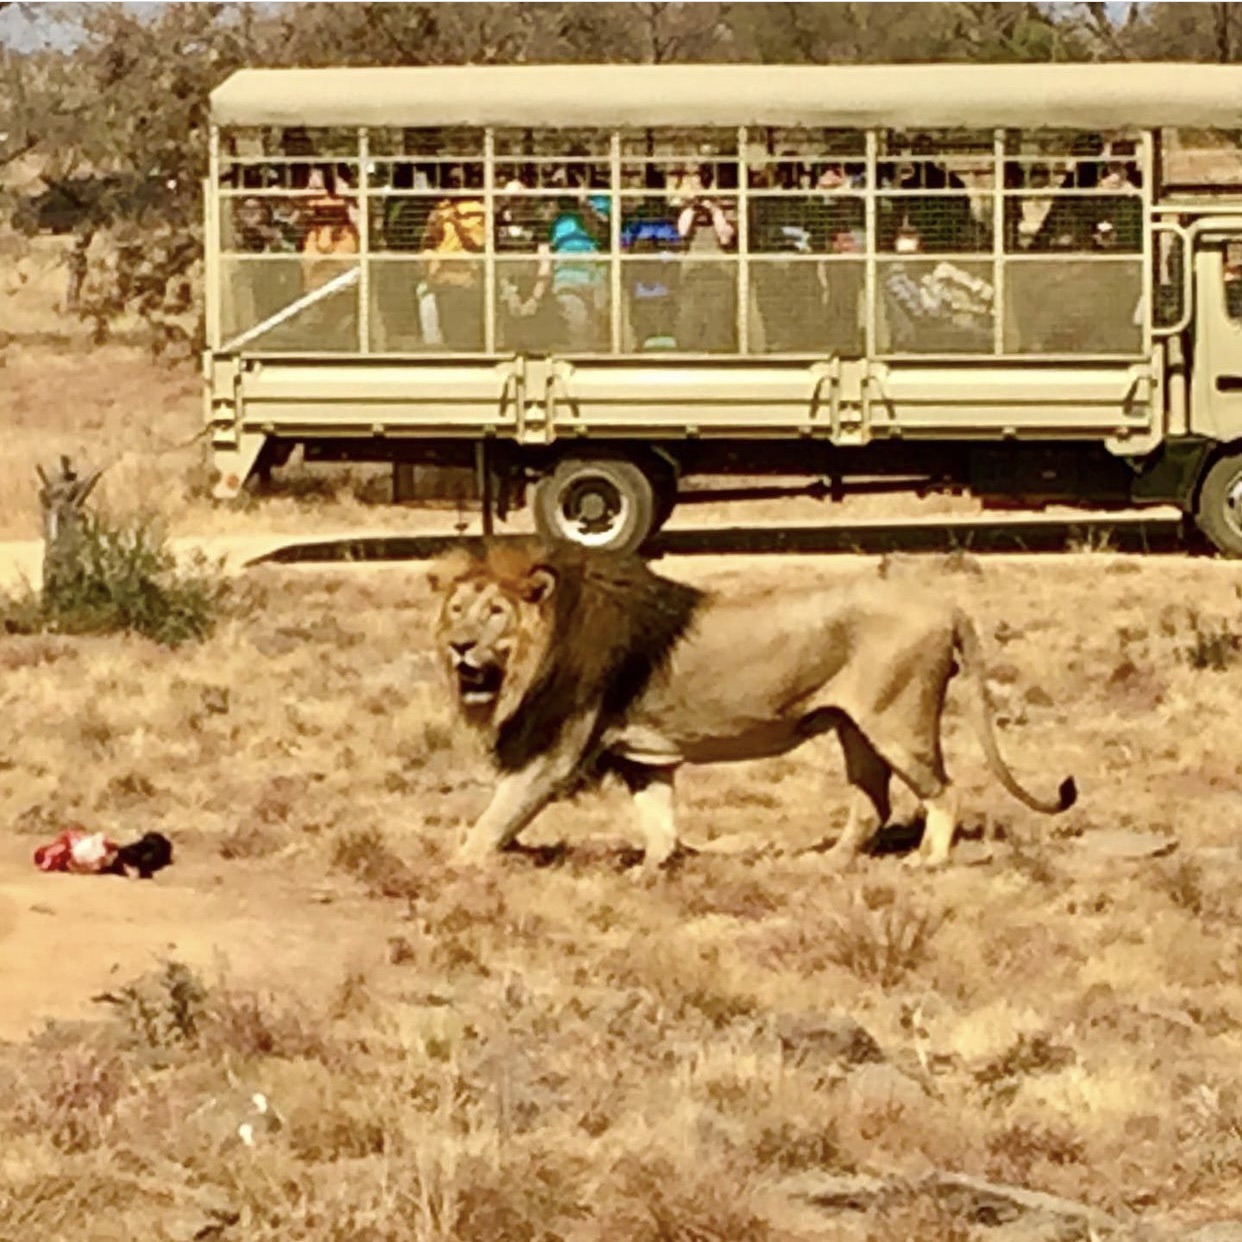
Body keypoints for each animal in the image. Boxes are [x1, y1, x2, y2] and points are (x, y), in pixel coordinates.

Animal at [429, 541, 1078, 874]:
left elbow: (494, 820)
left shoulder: (554, 753)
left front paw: (454, 871)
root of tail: (946, 605)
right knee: (871, 802)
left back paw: (929, 860)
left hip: (898, 721)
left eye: (494, 613)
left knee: (945, 791)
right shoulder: (641, 756)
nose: (459, 645)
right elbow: (659, 820)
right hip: (854, 728)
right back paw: (825, 862)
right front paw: (650, 871)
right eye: (457, 609)